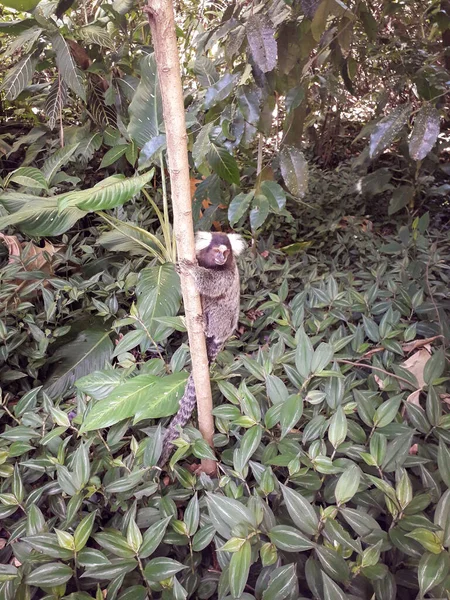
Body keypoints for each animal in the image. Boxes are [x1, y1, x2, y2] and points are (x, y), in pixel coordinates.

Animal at [160, 230, 246, 464]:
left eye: (226, 253)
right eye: (217, 250)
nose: (221, 258)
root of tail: (225, 336)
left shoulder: (227, 273)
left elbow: (212, 284)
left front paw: (192, 269)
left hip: (224, 324)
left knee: (218, 306)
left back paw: (207, 327)